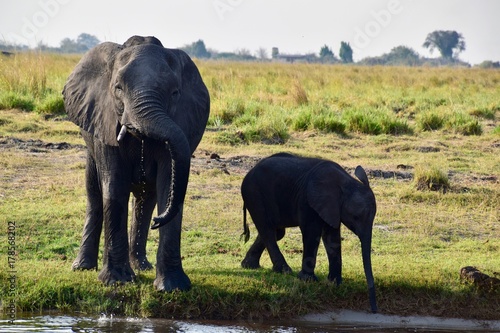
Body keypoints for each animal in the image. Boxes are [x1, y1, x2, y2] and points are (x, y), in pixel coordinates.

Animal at [63, 35, 210, 290]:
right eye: (118, 89)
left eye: (175, 93)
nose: (158, 222)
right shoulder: (104, 120)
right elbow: (114, 187)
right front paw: (117, 282)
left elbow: (168, 185)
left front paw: (172, 287)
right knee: (94, 195)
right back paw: (82, 267)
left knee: (146, 200)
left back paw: (143, 266)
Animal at [240, 152, 376, 312]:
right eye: (355, 217)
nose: (374, 310)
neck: (347, 182)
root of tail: (250, 171)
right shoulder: (308, 201)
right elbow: (312, 232)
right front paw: (308, 281)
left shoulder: (331, 206)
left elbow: (332, 237)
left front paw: (334, 283)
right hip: (254, 194)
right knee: (268, 230)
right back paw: (284, 271)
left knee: (276, 232)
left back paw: (249, 266)